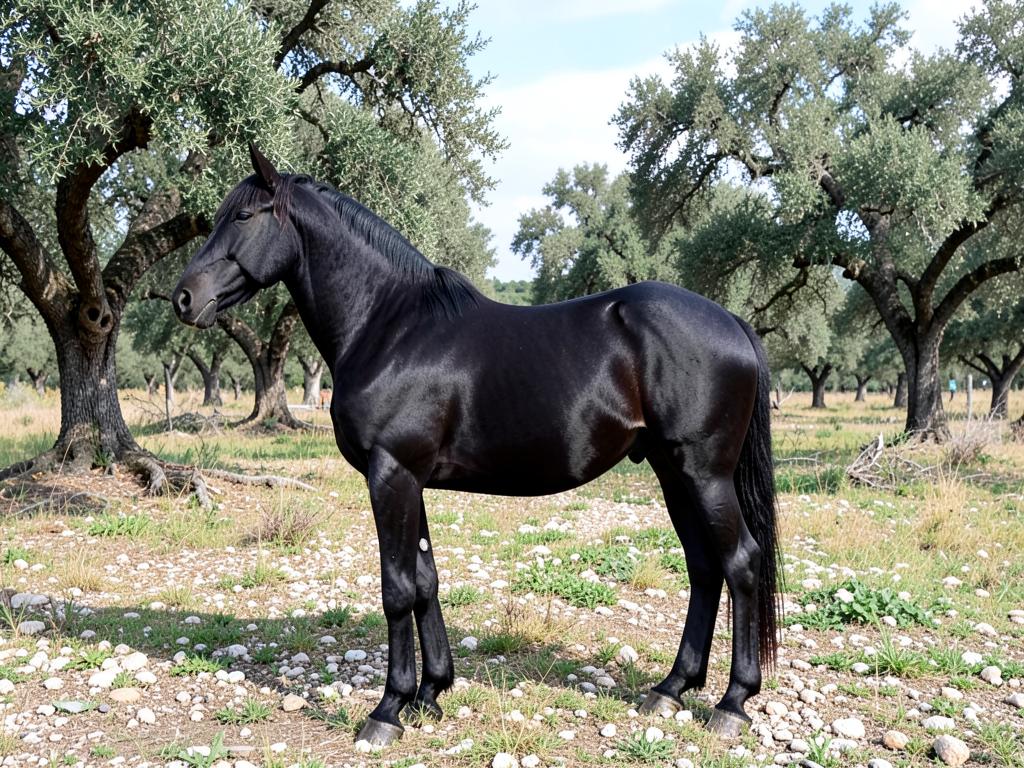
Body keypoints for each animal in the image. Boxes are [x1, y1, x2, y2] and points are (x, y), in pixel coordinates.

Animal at [172, 144, 781, 747]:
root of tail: (731, 321)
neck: (389, 328)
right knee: (703, 567)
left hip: (703, 473)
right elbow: (425, 581)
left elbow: (397, 589)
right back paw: (670, 688)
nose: (183, 298)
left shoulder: (390, 474)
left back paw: (732, 702)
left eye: (242, 216)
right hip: (671, 471)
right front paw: (429, 694)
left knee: (741, 562)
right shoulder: (409, 480)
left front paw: (387, 709)